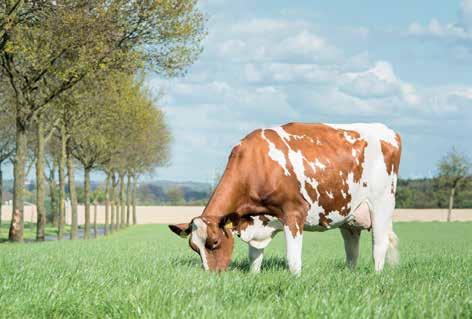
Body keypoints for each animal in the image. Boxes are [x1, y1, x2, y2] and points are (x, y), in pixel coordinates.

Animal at [168, 122, 400, 276]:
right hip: (349, 215)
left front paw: (296, 280)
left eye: (214, 242)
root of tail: (389, 131)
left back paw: (376, 276)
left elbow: (293, 258)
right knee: (352, 249)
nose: (212, 276)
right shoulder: (257, 221)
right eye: (194, 247)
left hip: (381, 205)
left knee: (378, 245)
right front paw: (254, 276)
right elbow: (254, 256)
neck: (257, 164)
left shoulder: (294, 212)